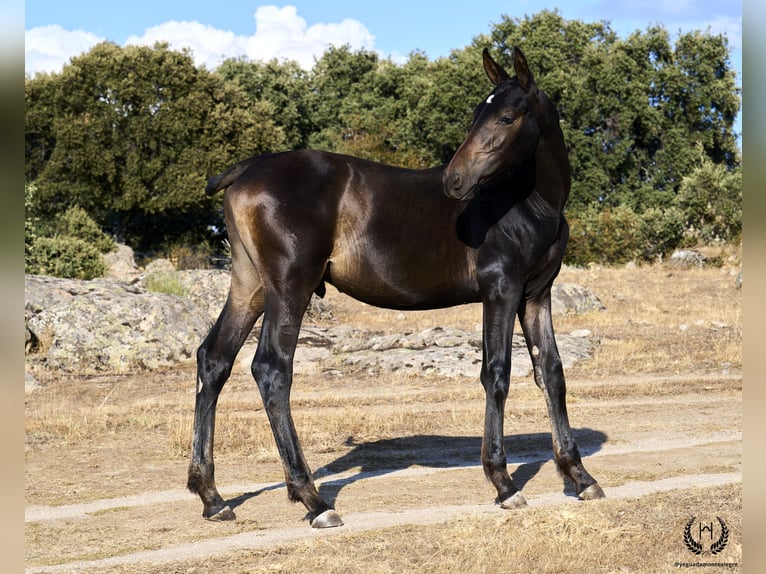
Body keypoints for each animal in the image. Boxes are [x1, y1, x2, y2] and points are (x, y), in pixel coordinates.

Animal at [188, 47, 608, 528]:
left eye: (505, 117)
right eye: (477, 114)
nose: (454, 180)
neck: (528, 203)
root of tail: (247, 168)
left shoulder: (536, 296)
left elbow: (551, 373)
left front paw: (580, 476)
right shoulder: (500, 290)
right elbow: (497, 373)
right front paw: (504, 483)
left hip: (251, 286)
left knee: (214, 359)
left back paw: (212, 496)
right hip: (289, 288)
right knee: (272, 369)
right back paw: (313, 500)